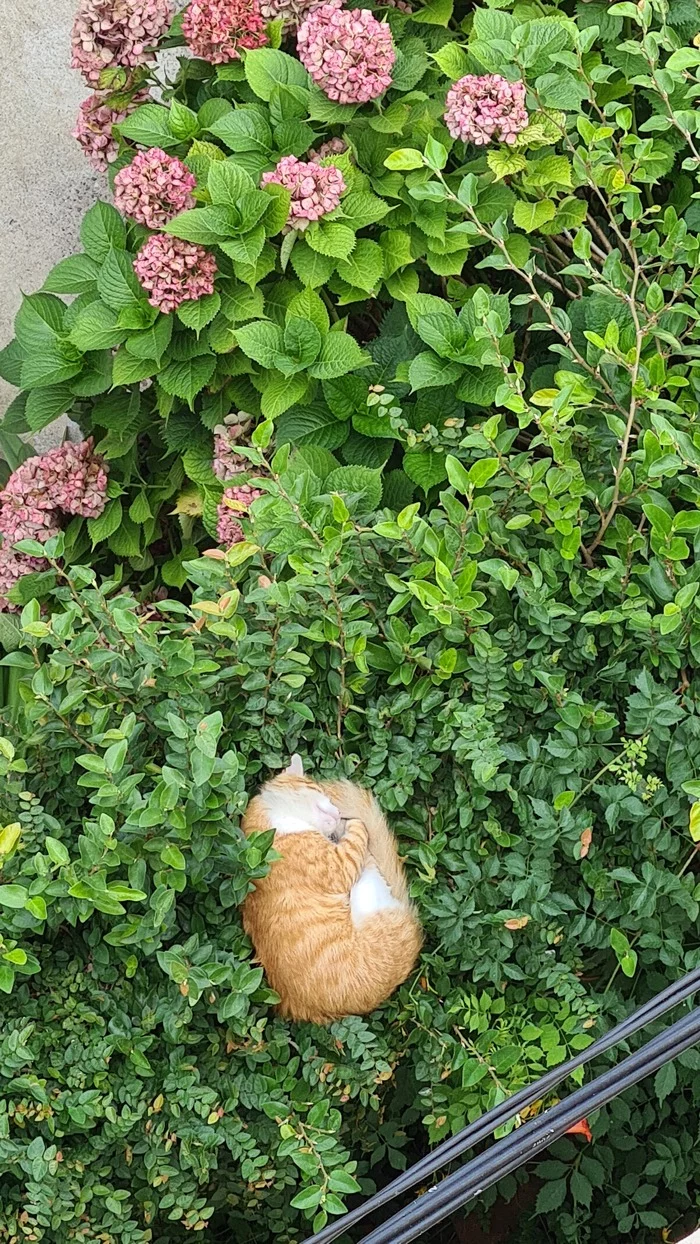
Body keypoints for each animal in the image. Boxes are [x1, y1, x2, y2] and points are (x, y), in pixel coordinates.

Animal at [243, 751, 425, 1025]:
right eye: (323, 797)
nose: (338, 812)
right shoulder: (340, 866)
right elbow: (359, 832)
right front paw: (352, 824)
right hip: (367, 891)